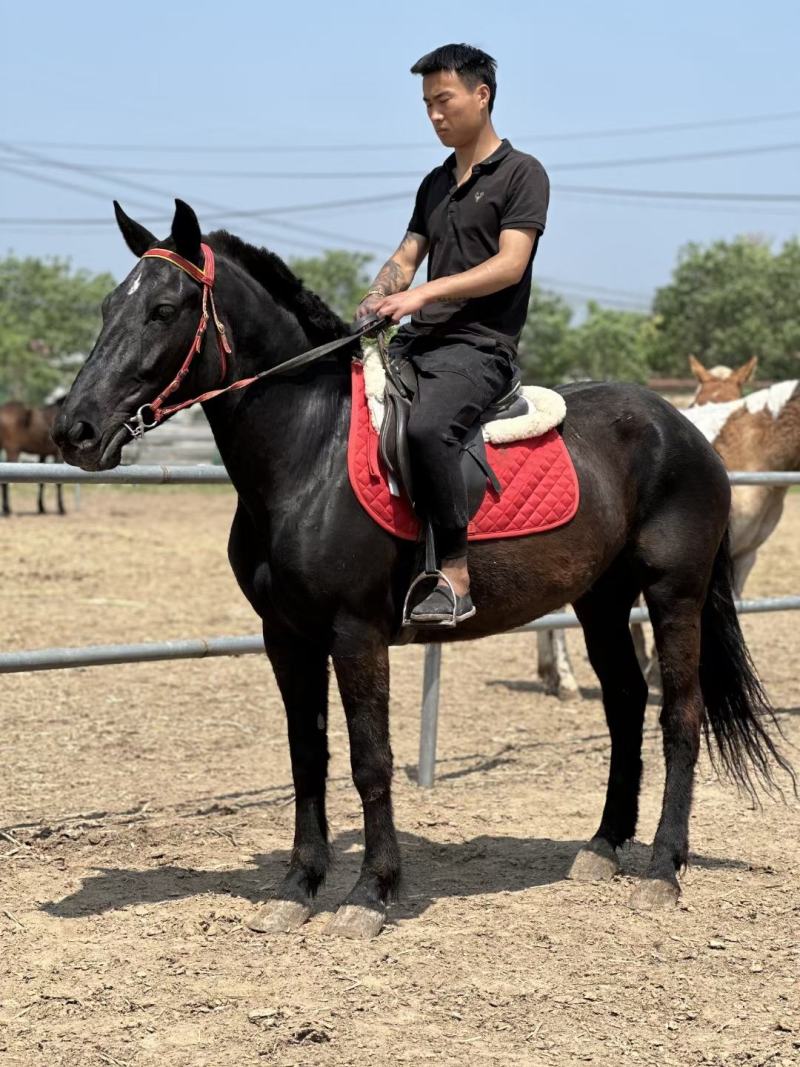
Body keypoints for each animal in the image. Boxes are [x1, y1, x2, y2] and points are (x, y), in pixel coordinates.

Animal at [53, 200, 792, 939]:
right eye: (108, 306)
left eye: (164, 309)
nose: (74, 430)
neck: (311, 451)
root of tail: (685, 428)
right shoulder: (285, 635)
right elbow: (306, 755)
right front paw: (298, 886)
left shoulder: (355, 633)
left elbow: (370, 759)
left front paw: (369, 893)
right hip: (602, 600)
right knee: (625, 703)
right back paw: (604, 846)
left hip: (675, 594)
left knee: (681, 716)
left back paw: (663, 868)